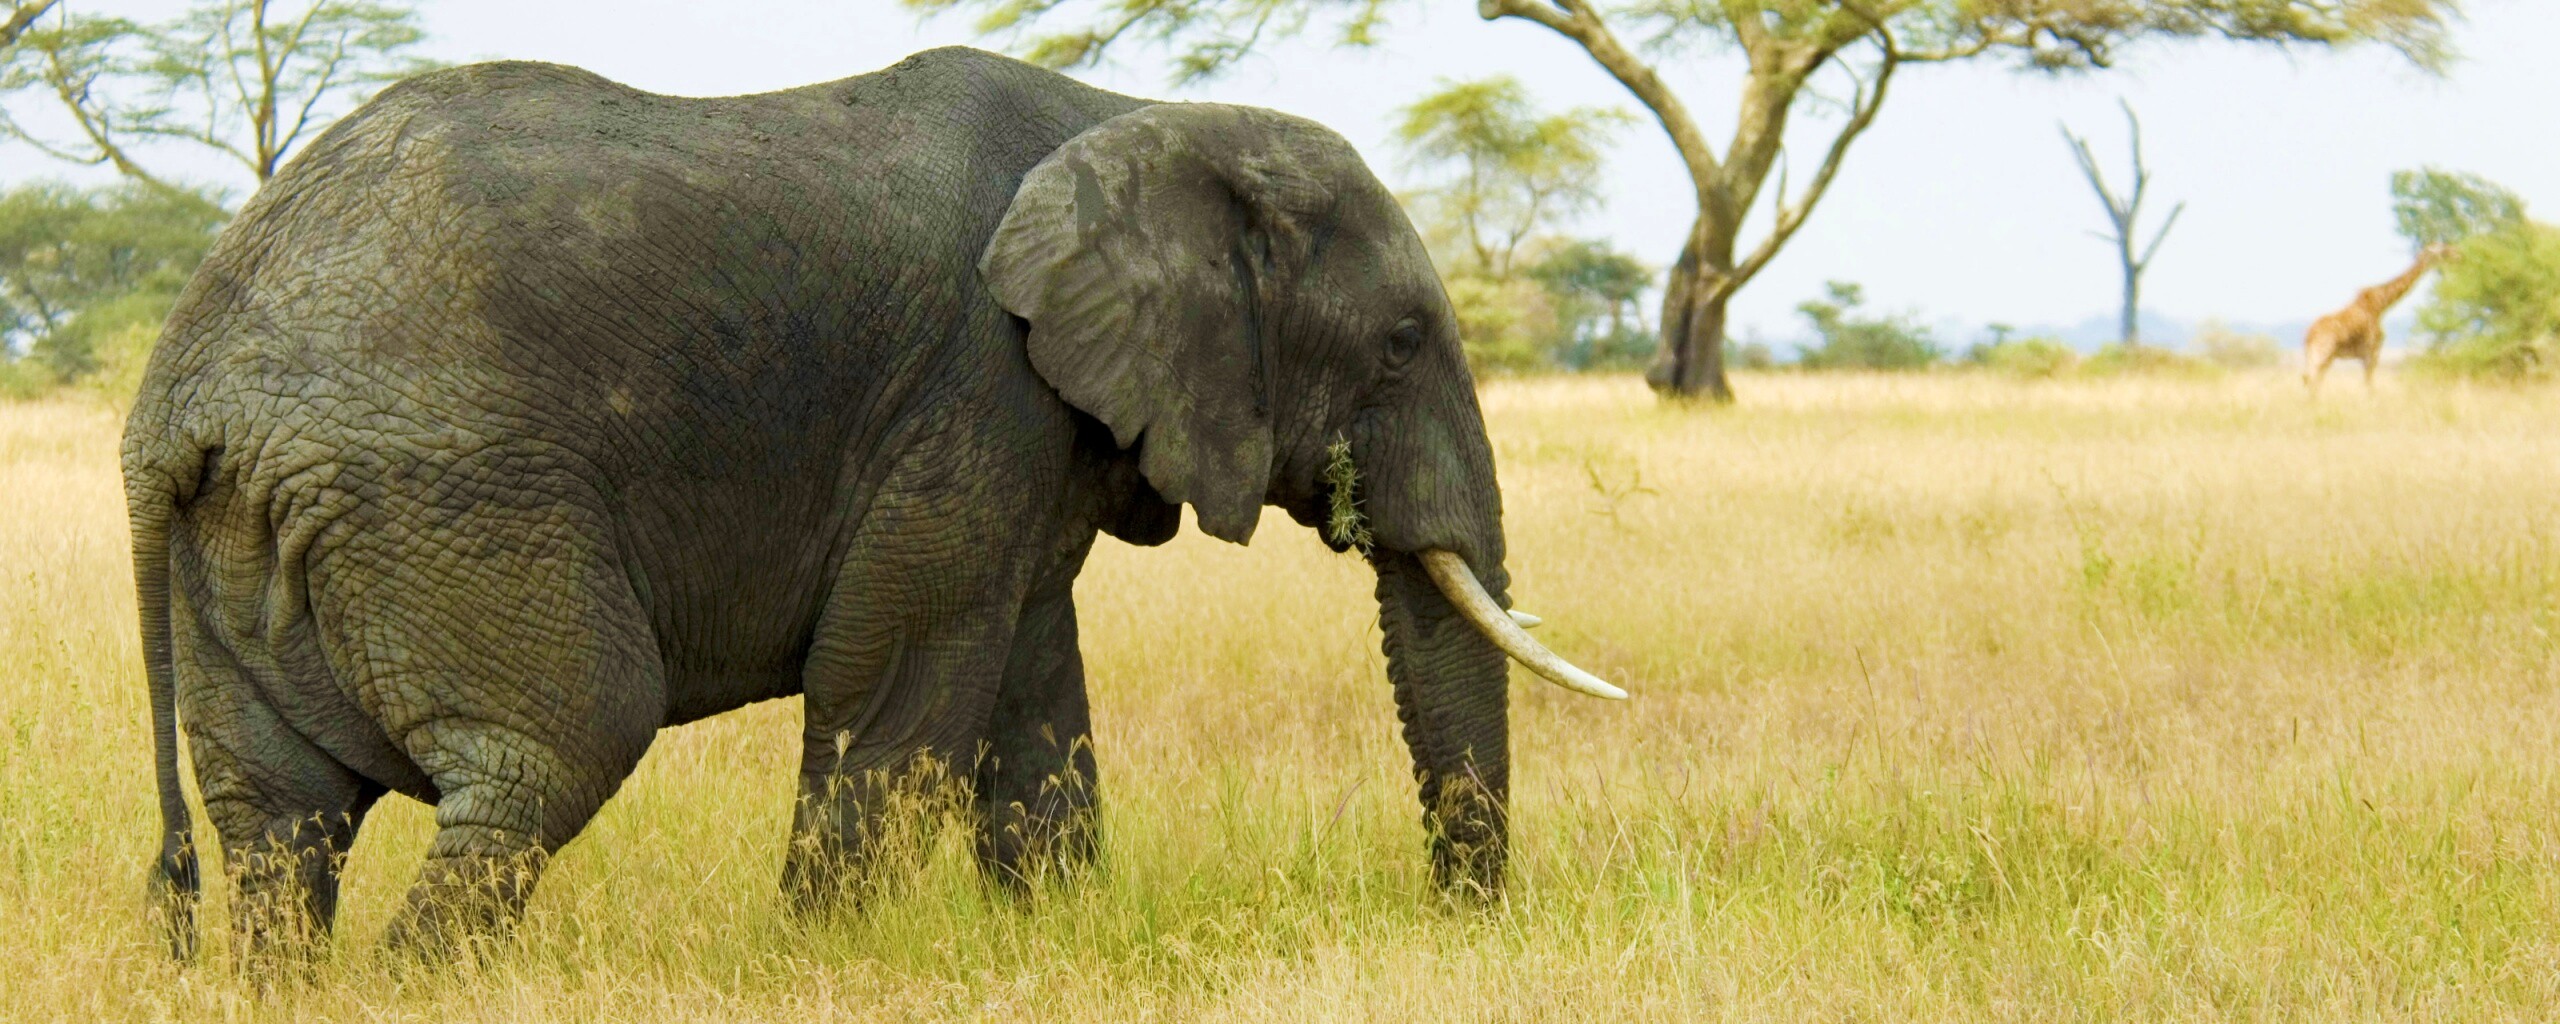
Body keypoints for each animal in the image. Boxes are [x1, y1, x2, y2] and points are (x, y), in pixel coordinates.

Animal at [121, 46, 1622, 957]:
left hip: (254, 532)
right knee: (550, 752)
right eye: (1401, 345)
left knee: (281, 822)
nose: (1458, 922)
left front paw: (1049, 944)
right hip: (445, 495)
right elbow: (899, 681)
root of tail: (178, 394)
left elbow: (1029, 686)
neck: (1131, 119)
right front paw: (820, 960)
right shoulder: (975, 385)